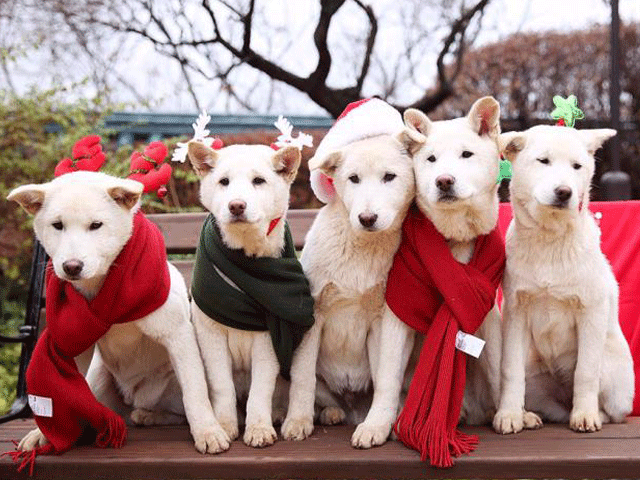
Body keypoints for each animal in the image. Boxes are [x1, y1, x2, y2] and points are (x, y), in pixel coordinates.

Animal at [9, 172, 230, 454]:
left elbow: (195, 392)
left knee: (177, 410)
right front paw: (45, 434)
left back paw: (149, 415)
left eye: (96, 225)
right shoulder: (75, 345)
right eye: (57, 225)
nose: (72, 267)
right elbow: (63, 392)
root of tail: (133, 397)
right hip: (98, 378)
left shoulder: (177, 335)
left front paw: (207, 431)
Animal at [185, 141, 310, 448]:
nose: (236, 205)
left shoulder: (268, 338)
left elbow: (261, 390)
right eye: (224, 182)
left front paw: (259, 427)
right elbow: (222, 386)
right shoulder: (211, 335)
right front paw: (224, 424)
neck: (243, 257)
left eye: (258, 181)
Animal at [282, 99, 424, 448]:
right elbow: (303, 378)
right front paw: (298, 421)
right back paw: (329, 413)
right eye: (353, 179)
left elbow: (386, 378)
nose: (367, 218)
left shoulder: (384, 319)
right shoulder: (312, 313)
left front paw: (376, 427)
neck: (361, 248)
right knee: (320, 392)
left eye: (389, 177)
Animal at [404, 96, 504, 424]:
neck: (457, 236)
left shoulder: (488, 317)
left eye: (466, 154)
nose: (444, 180)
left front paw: (512, 412)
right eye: (431, 159)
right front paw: (377, 425)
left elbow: (499, 372)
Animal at [492, 125, 632, 434]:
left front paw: (585, 415)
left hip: (613, 373)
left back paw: (589, 412)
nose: (564, 192)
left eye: (577, 167)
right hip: (535, 375)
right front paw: (509, 414)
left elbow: (586, 372)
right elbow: (509, 370)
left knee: (613, 411)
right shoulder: (516, 310)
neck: (550, 241)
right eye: (543, 161)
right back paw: (528, 416)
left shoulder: (591, 309)